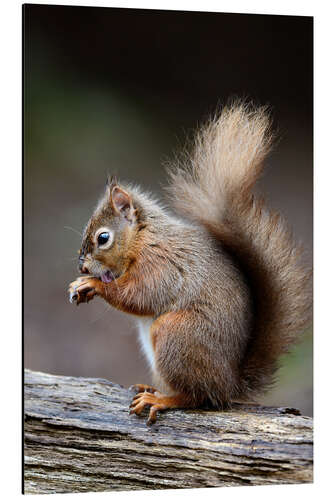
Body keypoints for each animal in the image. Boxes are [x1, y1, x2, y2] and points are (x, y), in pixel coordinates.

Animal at [67, 103, 312, 424]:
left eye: (103, 238)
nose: (82, 267)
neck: (144, 239)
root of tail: (229, 384)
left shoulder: (162, 265)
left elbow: (139, 296)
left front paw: (92, 284)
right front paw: (78, 285)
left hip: (176, 334)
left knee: (198, 397)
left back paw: (161, 399)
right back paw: (151, 388)